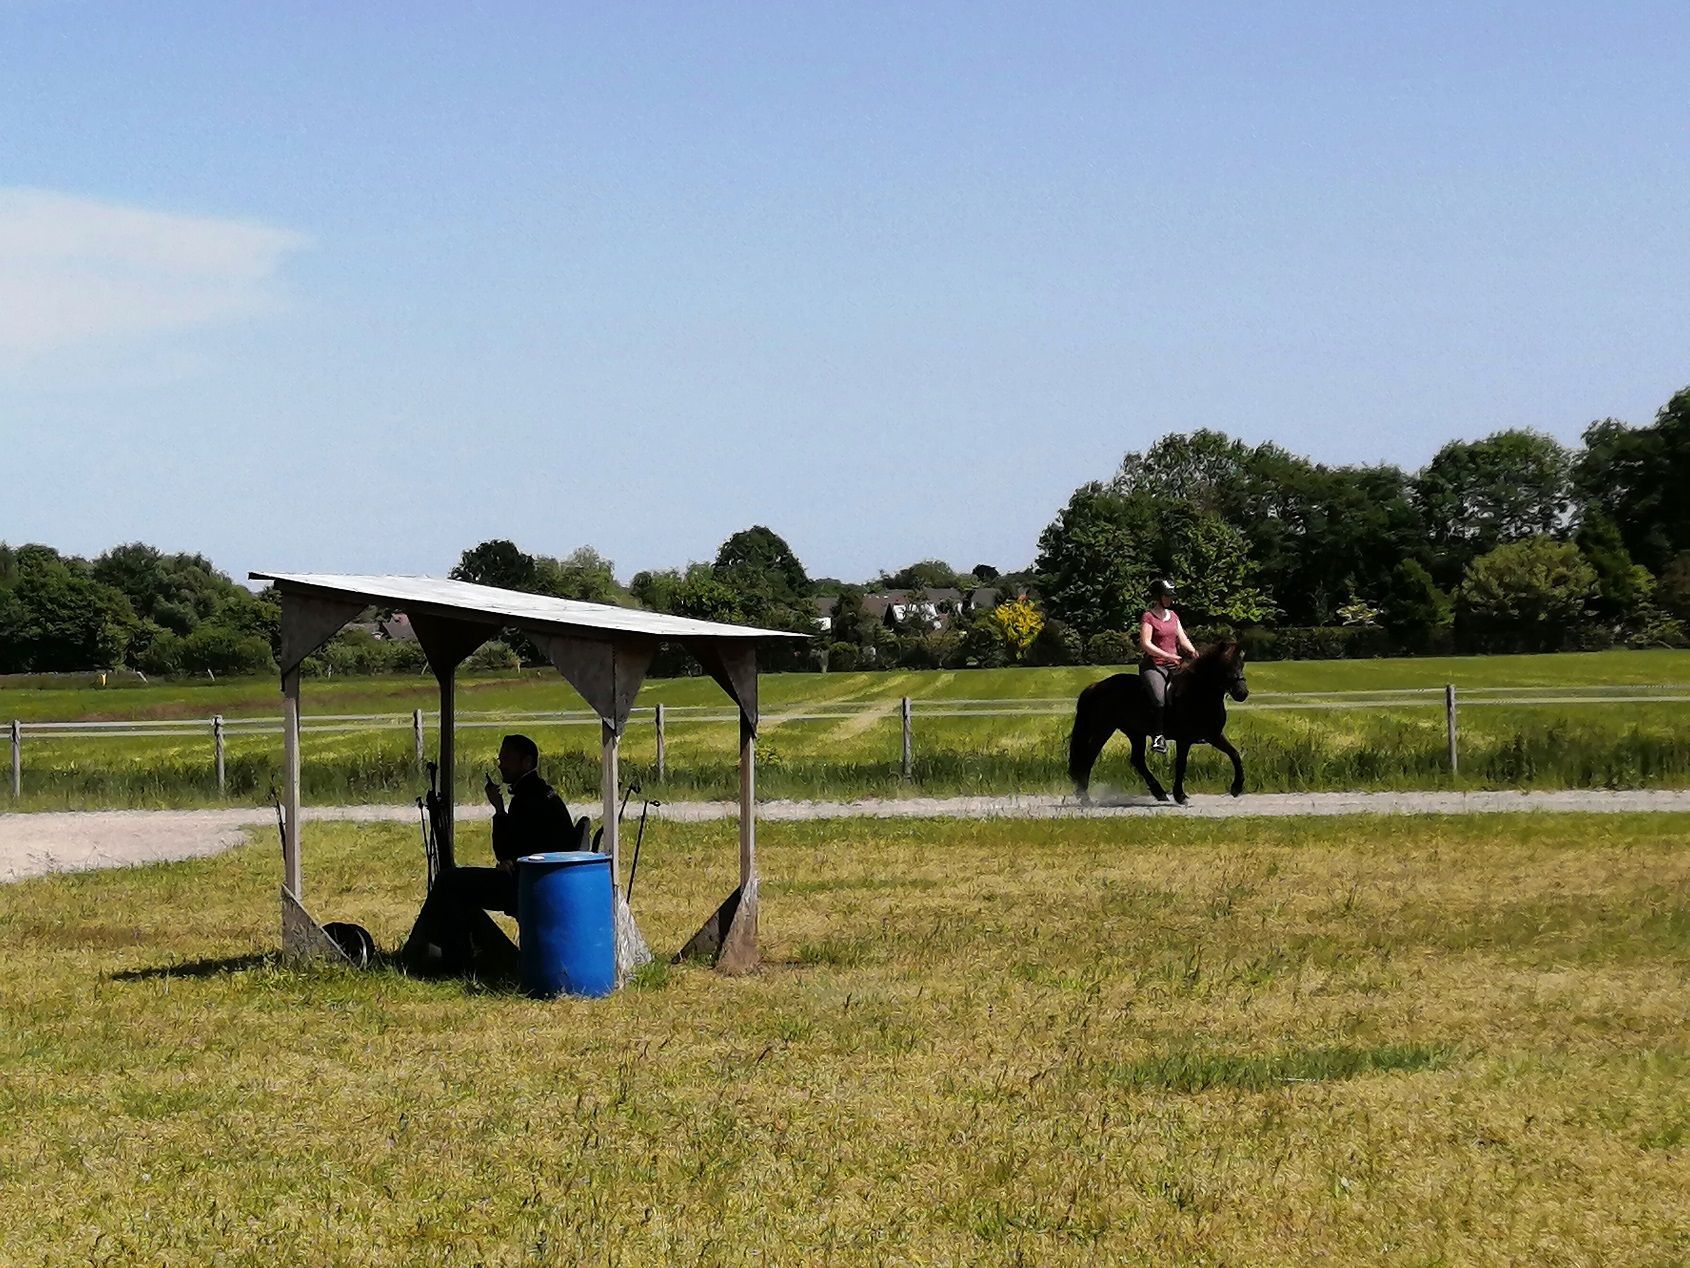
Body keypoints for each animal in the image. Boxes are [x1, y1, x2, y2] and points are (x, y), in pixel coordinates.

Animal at [1067, 642, 1249, 805]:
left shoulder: (1214, 735)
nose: (1242, 693)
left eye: (1242, 664)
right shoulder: (1184, 739)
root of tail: (1096, 686)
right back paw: (1085, 798)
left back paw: (1159, 792)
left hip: (1135, 732)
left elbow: (1234, 754)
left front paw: (1236, 788)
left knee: (1137, 760)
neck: (1197, 693)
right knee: (1088, 757)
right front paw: (1180, 796)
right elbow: (1181, 764)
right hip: (1103, 729)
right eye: (1225, 665)